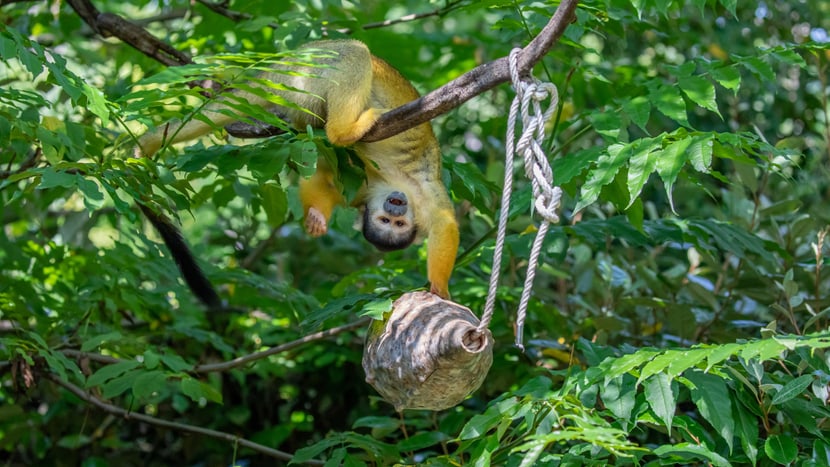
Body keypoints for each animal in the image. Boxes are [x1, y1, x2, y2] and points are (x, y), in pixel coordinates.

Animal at [137, 40, 462, 304]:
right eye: (386, 221)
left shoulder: (371, 192)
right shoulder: (411, 193)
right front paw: (440, 289)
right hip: (304, 72)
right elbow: (447, 225)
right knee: (354, 53)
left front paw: (317, 217)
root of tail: (273, 70)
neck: (390, 184)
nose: (396, 206)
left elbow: (326, 177)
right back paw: (345, 130)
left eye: (398, 225)